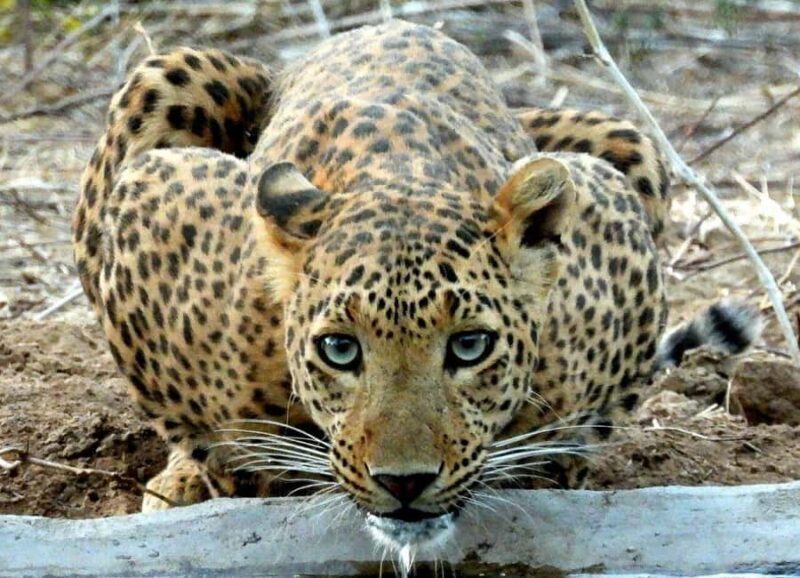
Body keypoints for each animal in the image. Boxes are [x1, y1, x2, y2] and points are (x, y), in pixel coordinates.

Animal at [73, 20, 757, 553]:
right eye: (340, 349)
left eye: (470, 346)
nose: (405, 482)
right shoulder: (153, 205)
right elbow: (230, 457)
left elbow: (564, 453)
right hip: (162, 76)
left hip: (630, 142)